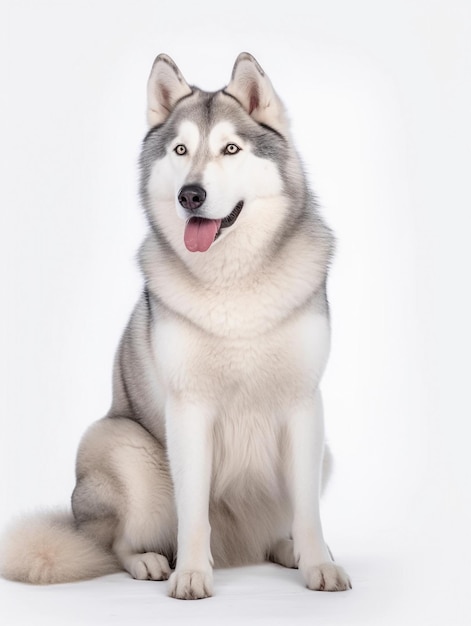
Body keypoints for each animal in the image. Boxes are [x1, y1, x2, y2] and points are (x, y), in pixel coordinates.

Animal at [0, 52, 352, 596]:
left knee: (277, 523)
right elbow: (193, 513)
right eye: (181, 150)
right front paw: (190, 574)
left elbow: (309, 511)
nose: (191, 194)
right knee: (116, 543)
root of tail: (236, 549)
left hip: (323, 454)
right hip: (121, 446)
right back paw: (148, 560)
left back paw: (284, 549)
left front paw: (318, 564)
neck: (234, 282)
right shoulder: (188, 409)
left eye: (231, 148)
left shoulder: (304, 403)